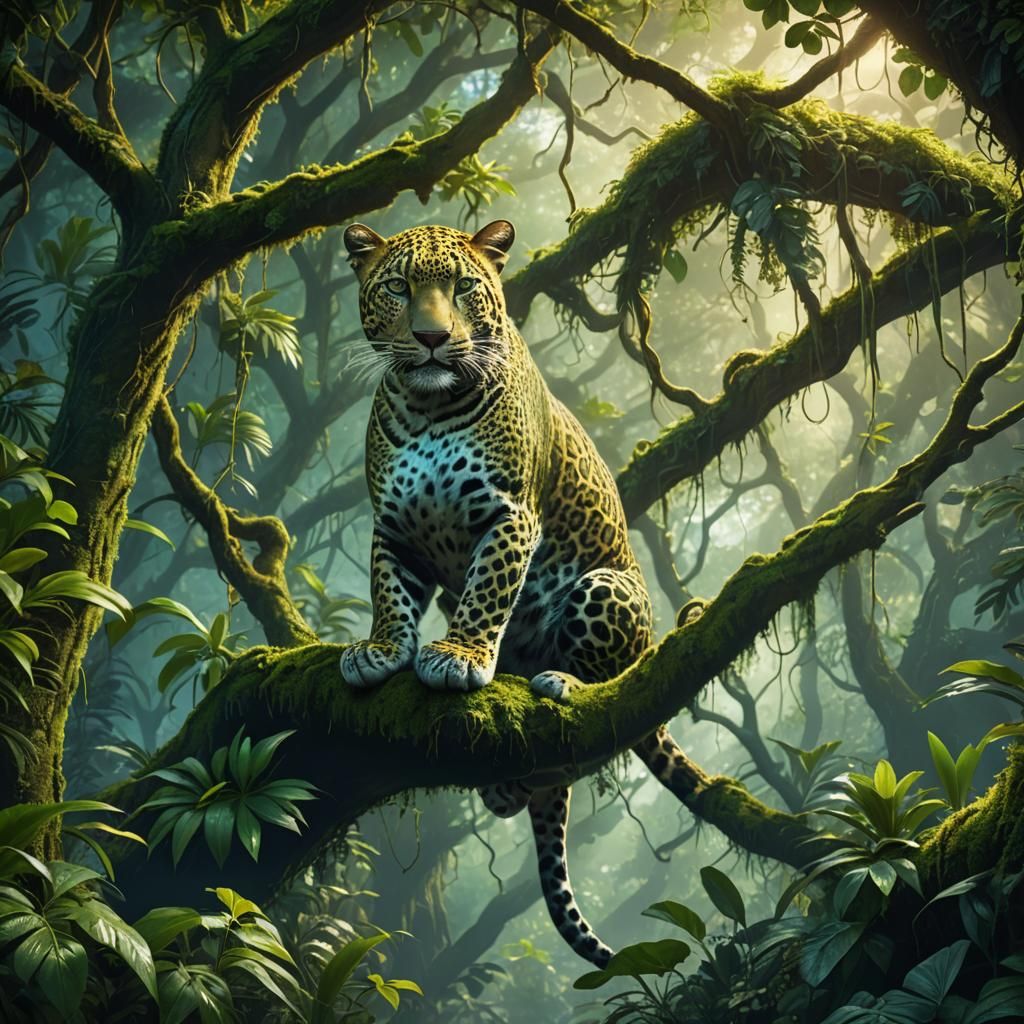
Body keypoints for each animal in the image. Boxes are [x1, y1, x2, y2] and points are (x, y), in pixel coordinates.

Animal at [339, 218, 696, 967]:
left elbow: (487, 590)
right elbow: (389, 593)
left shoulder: (511, 517)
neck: (427, 405)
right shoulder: (394, 530)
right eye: (399, 288)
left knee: (599, 715)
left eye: (462, 289)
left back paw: (562, 683)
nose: (432, 338)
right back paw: (507, 778)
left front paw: (459, 658)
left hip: (604, 587)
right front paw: (381, 651)